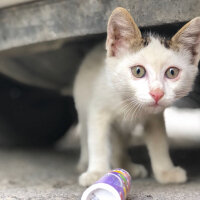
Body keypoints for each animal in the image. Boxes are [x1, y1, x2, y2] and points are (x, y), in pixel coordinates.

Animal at [74, 7, 200, 186]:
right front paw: (97, 172)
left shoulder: (155, 117)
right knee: (86, 134)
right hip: (82, 104)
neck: (130, 104)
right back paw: (84, 162)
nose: (157, 93)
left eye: (172, 72)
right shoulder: (98, 110)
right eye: (138, 71)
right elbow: (98, 142)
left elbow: (159, 142)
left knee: (119, 142)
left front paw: (166, 171)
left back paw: (127, 166)